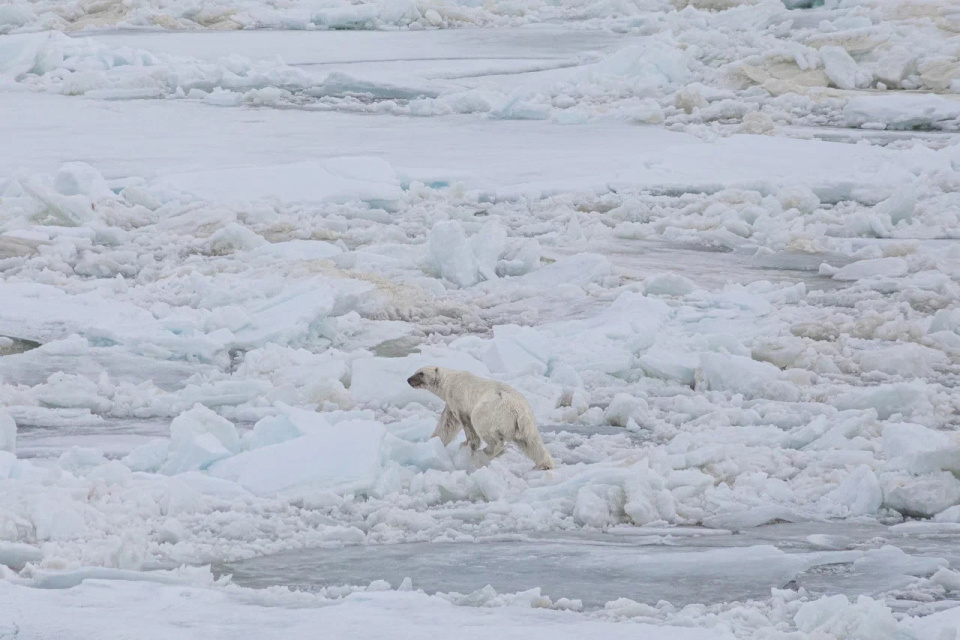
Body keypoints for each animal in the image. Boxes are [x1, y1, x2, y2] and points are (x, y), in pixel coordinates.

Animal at [407, 366, 556, 470]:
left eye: (421, 373)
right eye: (416, 371)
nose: (409, 379)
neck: (450, 381)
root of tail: (517, 411)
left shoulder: (458, 399)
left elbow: (465, 423)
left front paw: (466, 445)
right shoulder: (450, 404)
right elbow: (447, 425)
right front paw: (433, 441)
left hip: (490, 413)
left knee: (488, 432)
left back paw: (485, 452)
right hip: (526, 423)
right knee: (532, 442)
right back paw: (545, 464)